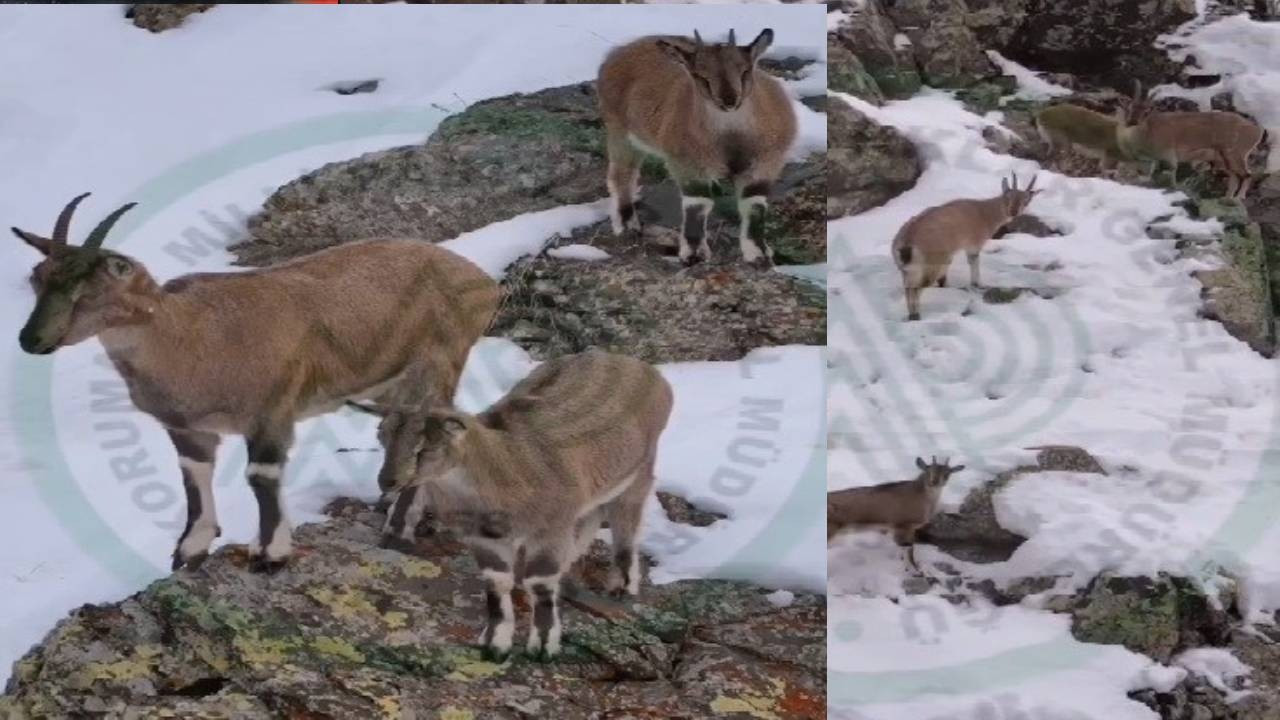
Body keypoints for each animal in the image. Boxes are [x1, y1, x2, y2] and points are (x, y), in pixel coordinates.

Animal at [13, 192, 499, 571]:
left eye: (89, 290)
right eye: (37, 279)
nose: (30, 339)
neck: (188, 336)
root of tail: (484, 283)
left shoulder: (271, 413)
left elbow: (261, 477)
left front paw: (271, 553)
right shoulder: (187, 429)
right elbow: (193, 476)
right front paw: (190, 549)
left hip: (439, 363)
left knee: (426, 425)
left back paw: (399, 526)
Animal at [399, 348, 675, 655]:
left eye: (426, 448)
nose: (391, 481)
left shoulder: (551, 526)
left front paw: (542, 644)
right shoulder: (487, 537)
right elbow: (498, 580)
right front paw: (495, 642)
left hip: (639, 472)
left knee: (625, 518)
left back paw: (622, 585)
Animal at [824, 456, 962, 568]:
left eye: (947, 473)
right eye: (927, 470)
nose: (934, 482)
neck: (921, 496)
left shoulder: (908, 529)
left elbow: (909, 548)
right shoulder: (902, 526)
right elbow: (908, 548)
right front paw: (913, 568)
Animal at [890, 172, 1039, 317]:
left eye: (1026, 201)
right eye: (1008, 196)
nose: (1013, 212)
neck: (985, 213)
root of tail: (907, 240)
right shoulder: (974, 244)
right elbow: (974, 262)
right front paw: (978, 284)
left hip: (908, 269)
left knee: (908, 287)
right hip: (932, 264)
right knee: (917, 288)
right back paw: (916, 314)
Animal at [1116, 81, 1264, 197]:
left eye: (1147, 111)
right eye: (1130, 107)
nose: (1132, 122)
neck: (1150, 131)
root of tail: (1257, 131)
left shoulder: (1170, 155)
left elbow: (1172, 176)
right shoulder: (1155, 159)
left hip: (1235, 154)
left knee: (1247, 175)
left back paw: (1238, 198)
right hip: (1224, 160)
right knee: (1234, 179)